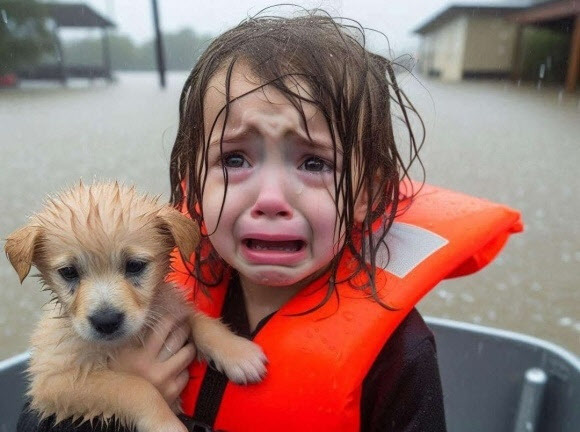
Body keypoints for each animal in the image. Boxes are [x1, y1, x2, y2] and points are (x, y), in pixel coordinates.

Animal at [5, 182, 268, 432]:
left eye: (134, 265)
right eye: (68, 272)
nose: (106, 321)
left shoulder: (168, 308)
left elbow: (200, 320)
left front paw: (238, 352)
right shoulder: (54, 381)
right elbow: (132, 386)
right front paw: (166, 424)